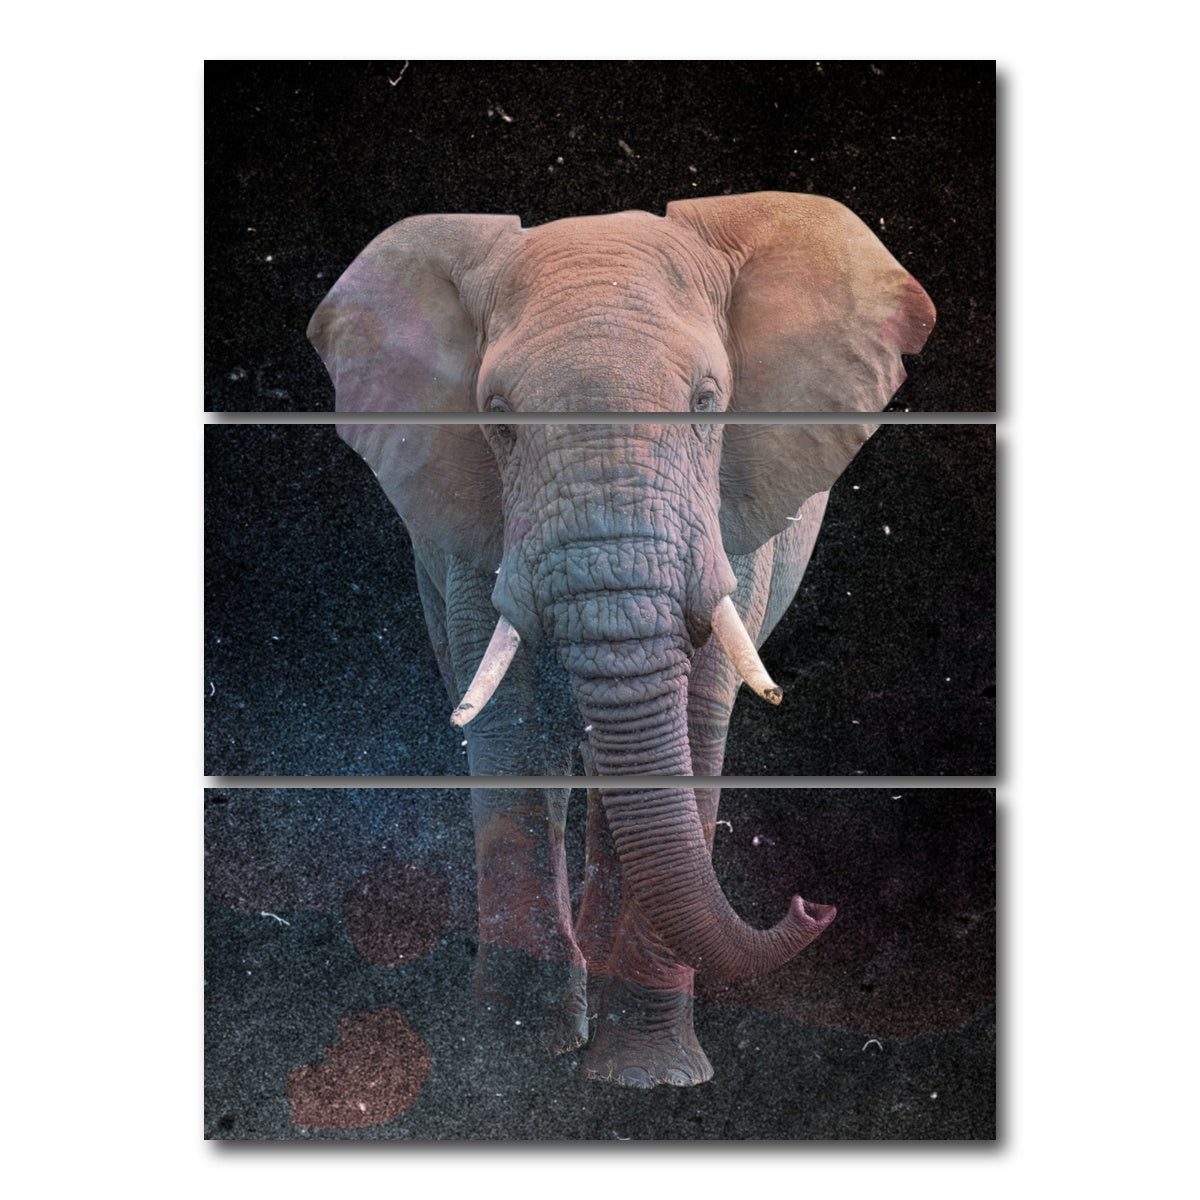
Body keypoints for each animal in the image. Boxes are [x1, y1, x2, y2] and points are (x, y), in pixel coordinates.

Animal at [308, 191, 935, 1087]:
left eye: (708, 403)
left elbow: (694, 721)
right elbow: (513, 729)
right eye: (498, 423)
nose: (814, 903)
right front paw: (514, 1060)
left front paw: (648, 1080)